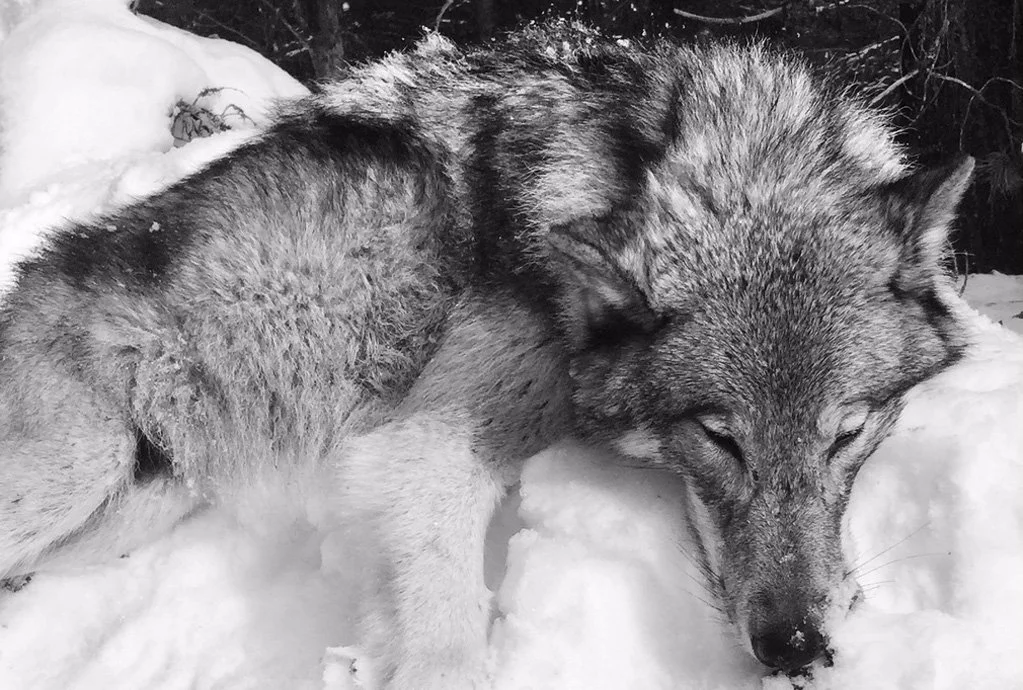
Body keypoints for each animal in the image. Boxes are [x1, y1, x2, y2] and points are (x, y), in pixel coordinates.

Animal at [0, 24, 973, 687]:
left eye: (847, 433)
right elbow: (445, 633)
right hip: (76, 472)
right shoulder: (424, 450)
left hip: (129, 510)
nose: (797, 649)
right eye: (717, 437)